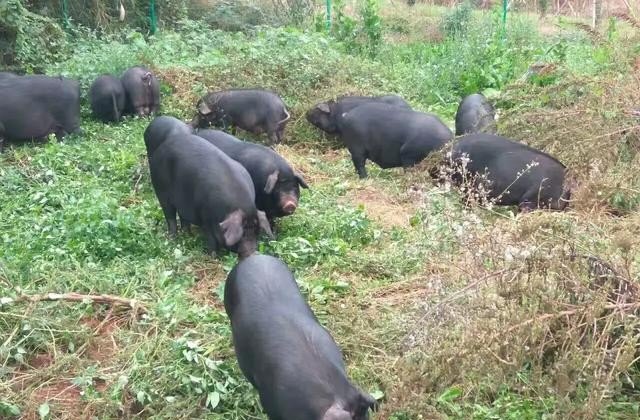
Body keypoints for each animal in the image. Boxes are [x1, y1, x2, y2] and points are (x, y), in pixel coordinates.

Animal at [142, 116, 272, 258]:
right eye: (242, 234)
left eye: (257, 232)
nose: (253, 253)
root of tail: (162, 147)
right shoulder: (206, 219)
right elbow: (211, 240)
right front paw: (213, 256)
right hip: (160, 190)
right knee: (170, 216)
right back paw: (173, 239)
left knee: (183, 218)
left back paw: (189, 236)